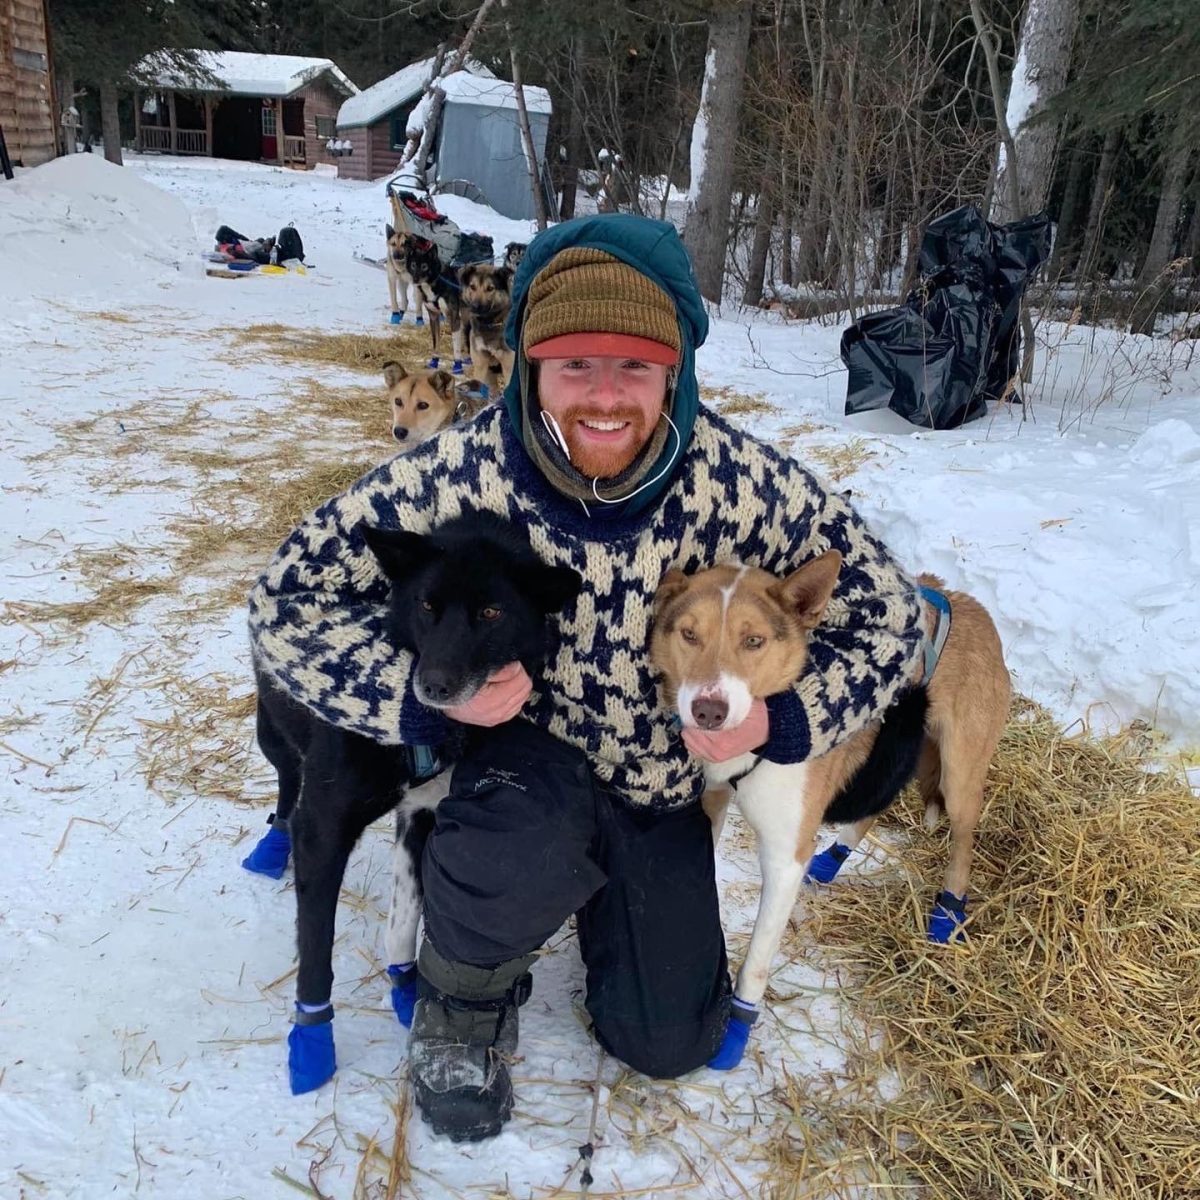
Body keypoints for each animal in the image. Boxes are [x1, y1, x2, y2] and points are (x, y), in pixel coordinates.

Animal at [246, 511, 583, 1094]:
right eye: (426, 604)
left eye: (491, 612)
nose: (433, 686)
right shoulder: (325, 829)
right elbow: (315, 948)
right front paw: (311, 1037)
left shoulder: (423, 812)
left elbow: (406, 917)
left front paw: (405, 987)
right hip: (274, 732)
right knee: (287, 784)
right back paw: (272, 844)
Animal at [652, 556, 1008, 1027]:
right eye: (689, 634)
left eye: (753, 641)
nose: (708, 711)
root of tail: (972, 606)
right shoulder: (713, 800)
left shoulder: (785, 857)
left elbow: (756, 964)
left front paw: (736, 1030)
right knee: (876, 805)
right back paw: (830, 860)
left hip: (959, 776)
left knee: (963, 841)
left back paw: (948, 911)